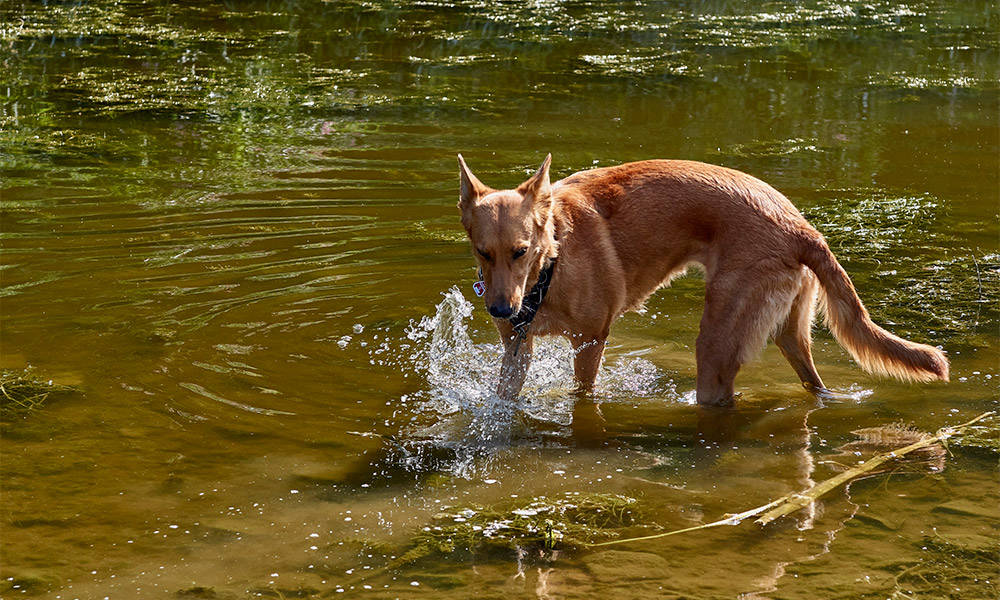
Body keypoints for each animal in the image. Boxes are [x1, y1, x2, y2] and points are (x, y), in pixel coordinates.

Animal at [458, 155, 948, 408]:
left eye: (521, 251)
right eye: (483, 252)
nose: (501, 310)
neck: (554, 259)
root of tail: (800, 227)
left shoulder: (590, 342)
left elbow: (582, 393)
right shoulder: (517, 347)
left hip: (715, 344)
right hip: (789, 333)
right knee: (813, 381)